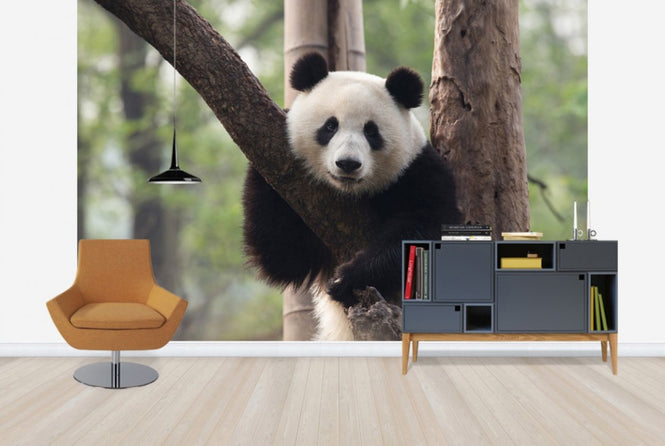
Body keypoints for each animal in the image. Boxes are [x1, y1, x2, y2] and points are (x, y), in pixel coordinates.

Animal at [243, 52, 461, 340]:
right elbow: (282, 254)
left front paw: (348, 277)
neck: (355, 193)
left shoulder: (417, 171)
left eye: (371, 131)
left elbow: (431, 226)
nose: (348, 164)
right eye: (330, 126)